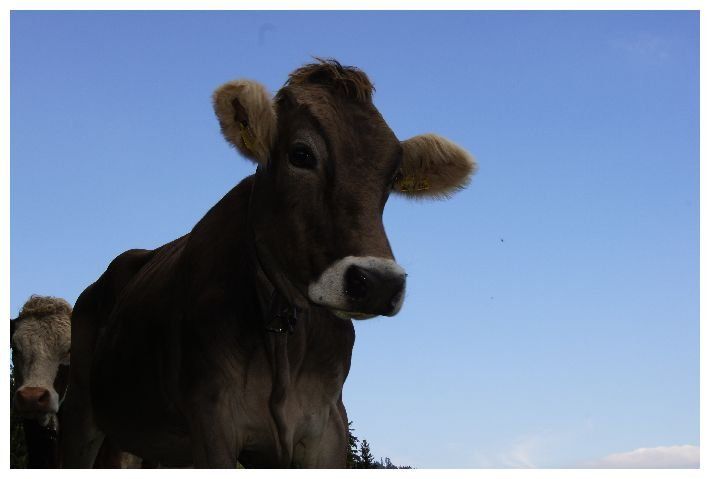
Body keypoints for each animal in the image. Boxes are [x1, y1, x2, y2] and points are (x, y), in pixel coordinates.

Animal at [60, 59, 477, 468]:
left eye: (392, 177)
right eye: (301, 154)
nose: (378, 283)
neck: (282, 332)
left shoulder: (327, 427)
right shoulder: (212, 421)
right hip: (81, 406)